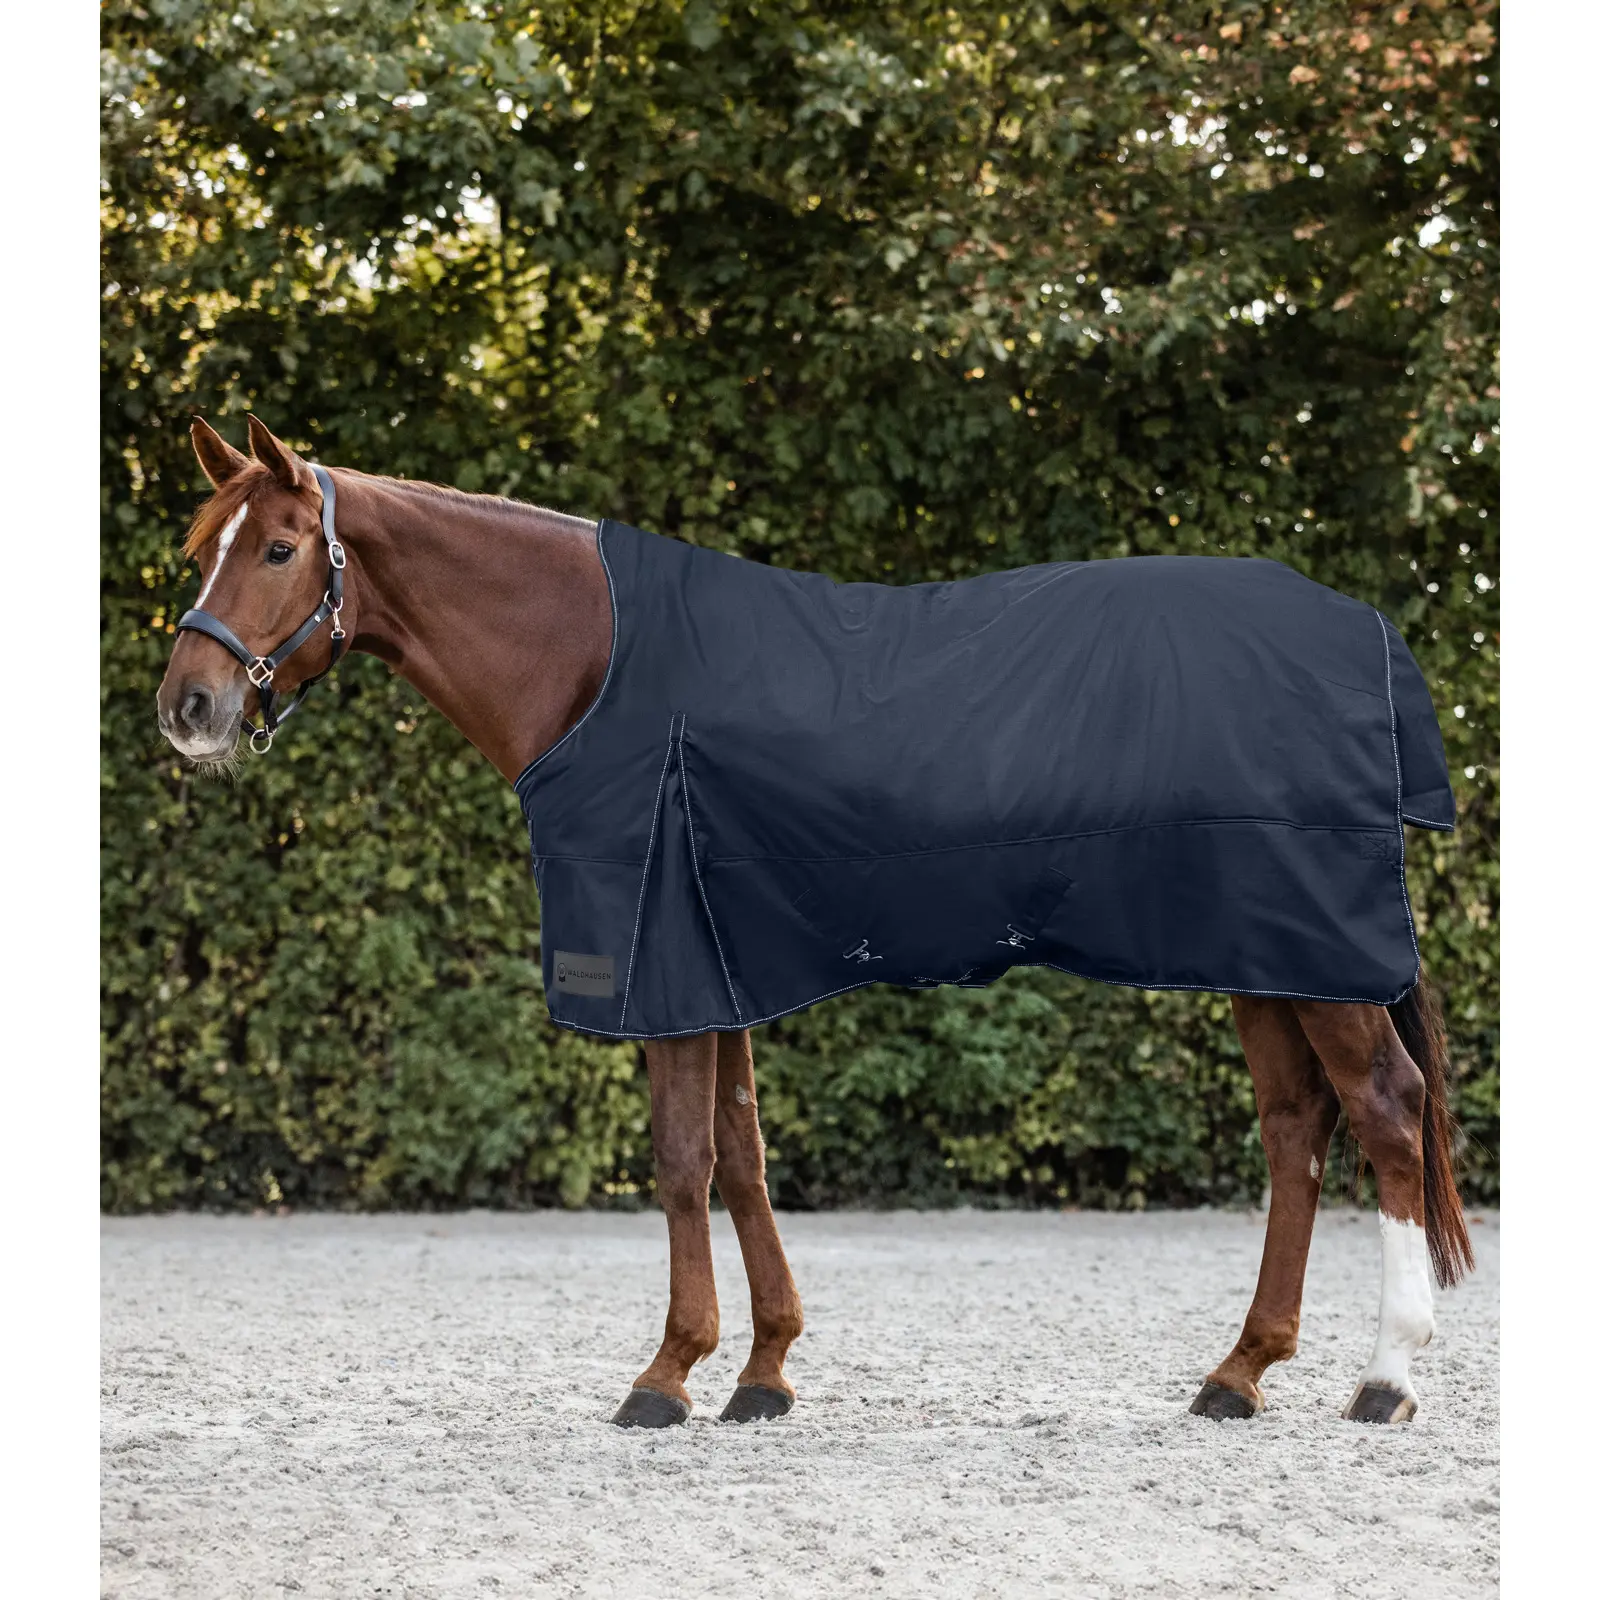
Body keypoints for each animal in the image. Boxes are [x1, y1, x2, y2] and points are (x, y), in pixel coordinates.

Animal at [155, 415, 1474, 1429]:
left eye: (279, 547)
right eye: (196, 547)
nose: (189, 707)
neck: (597, 662)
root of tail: (1362, 631)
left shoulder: (666, 964)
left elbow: (682, 1161)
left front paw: (666, 1374)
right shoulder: (716, 961)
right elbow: (741, 1157)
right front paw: (765, 1368)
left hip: (1317, 958)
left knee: (1384, 1111)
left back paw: (1384, 1377)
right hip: (1268, 954)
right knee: (1297, 1128)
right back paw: (1238, 1371)